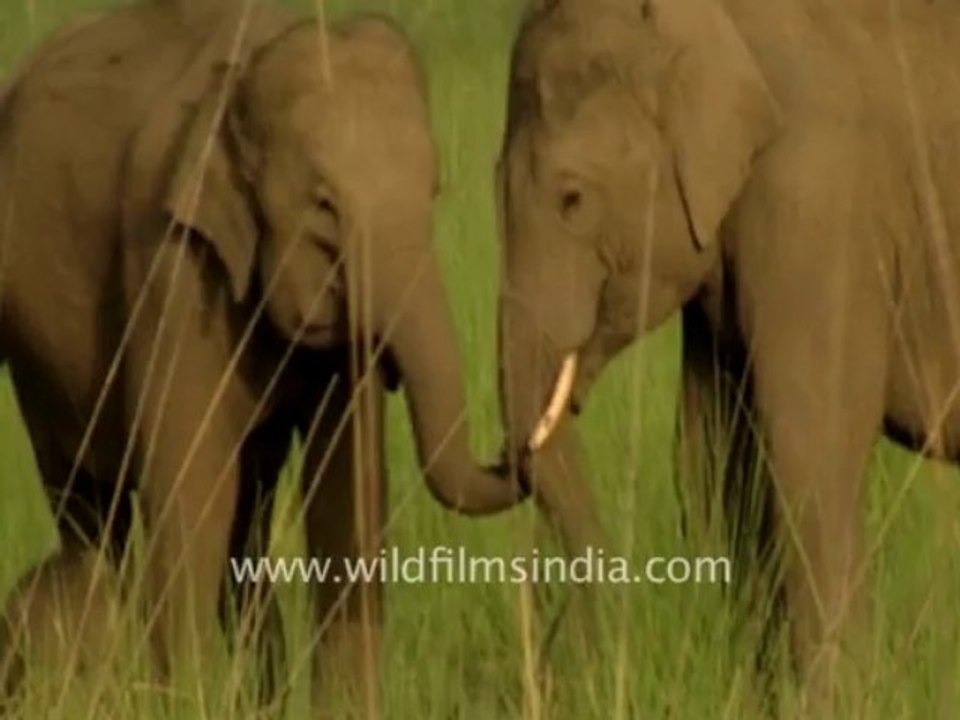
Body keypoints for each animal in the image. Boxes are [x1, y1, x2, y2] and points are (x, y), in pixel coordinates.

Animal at [0, 0, 523, 710]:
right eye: (324, 207)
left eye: (434, 189)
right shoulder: (174, 268)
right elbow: (193, 494)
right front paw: (184, 705)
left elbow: (348, 493)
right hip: (35, 356)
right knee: (89, 510)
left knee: (243, 526)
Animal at [495, 0, 960, 703]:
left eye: (572, 199)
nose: (557, 672)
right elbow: (711, 457)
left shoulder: (817, 198)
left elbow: (809, 449)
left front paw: (834, 701)